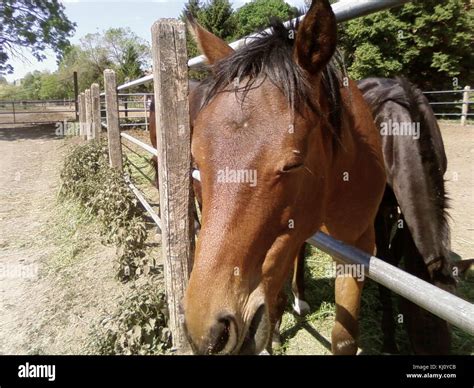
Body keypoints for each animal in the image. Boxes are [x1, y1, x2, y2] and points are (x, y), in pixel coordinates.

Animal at [181, 0, 386, 354]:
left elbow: (343, 336)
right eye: (198, 157)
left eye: (293, 164)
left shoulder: (358, 245)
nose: (207, 333)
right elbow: (273, 295)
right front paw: (273, 333)